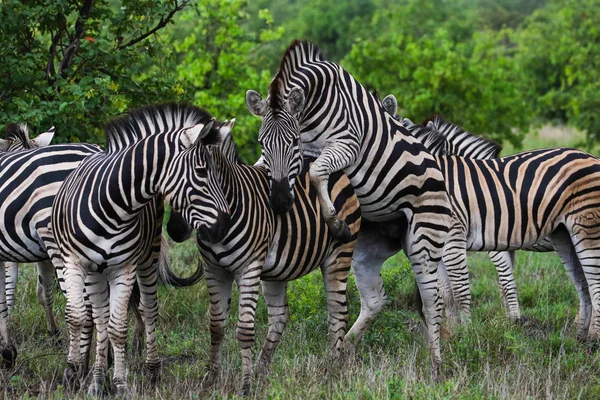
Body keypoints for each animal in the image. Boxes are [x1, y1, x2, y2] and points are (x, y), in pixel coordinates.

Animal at [51, 101, 231, 396]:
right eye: (202, 172)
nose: (224, 226)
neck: (111, 203)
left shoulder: (123, 267)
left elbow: (118, 328)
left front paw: (120, 384)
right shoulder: (75, 262)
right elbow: (77, 317)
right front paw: (76, 374)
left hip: (148, 257)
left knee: (147, 309)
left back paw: (152, 370)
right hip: (95, 272)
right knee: (98, 317)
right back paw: (97, 376)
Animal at [164, 119, 360, 394]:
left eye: (200, 174)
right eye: (167, 175)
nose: (175, 230)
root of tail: (318, 160)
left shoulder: (248, 268)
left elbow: (245, 330)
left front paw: (245, 386)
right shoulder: (214, 270)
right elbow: (216, 326)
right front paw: (210, 380)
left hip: (339, 254)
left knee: (337, 311)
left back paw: (330, 371)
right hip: (275, 270)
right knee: (280, 316)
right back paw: (261, 369)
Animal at [244, 39, 450, 376]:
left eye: (293, 143)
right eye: (262, 143)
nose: (280, 201)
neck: (316, 101)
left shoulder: (347, 144)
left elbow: (317, 172)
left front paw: (335, 222)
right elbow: (262, 168)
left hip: (425, 236)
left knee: (433, 299)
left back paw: (436, 364)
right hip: (370, 249)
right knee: (375, 299)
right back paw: (344, 352)